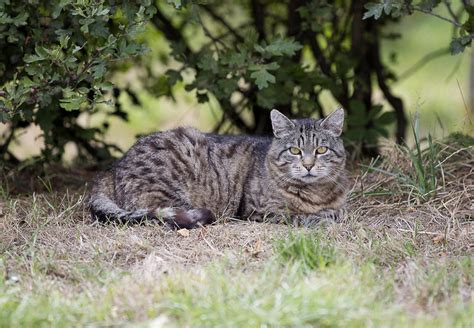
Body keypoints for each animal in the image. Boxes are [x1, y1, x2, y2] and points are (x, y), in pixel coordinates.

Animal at [88, 107, 348, 228]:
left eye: (321, 150)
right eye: (295, 151)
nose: (308, 165)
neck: (316, 194)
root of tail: (113, 168)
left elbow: (335, 211)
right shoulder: (259, 211)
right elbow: (299, 216)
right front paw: (321, 217)